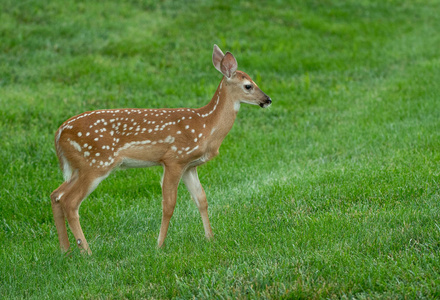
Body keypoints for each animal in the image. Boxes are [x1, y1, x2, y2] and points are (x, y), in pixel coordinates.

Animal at [51, 43, 272, 252]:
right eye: (248, 86)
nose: (267, 100)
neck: (206, 125)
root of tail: (59, 133)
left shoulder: (190, 165)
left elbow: (201, 199)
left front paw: (210, 238)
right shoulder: (174, 159)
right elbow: (169, 205)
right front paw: (159, 245)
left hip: (79, 167)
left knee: (56, 195)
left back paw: (65, 250)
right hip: (96, 162)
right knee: (70, 202)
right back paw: (86, 252)